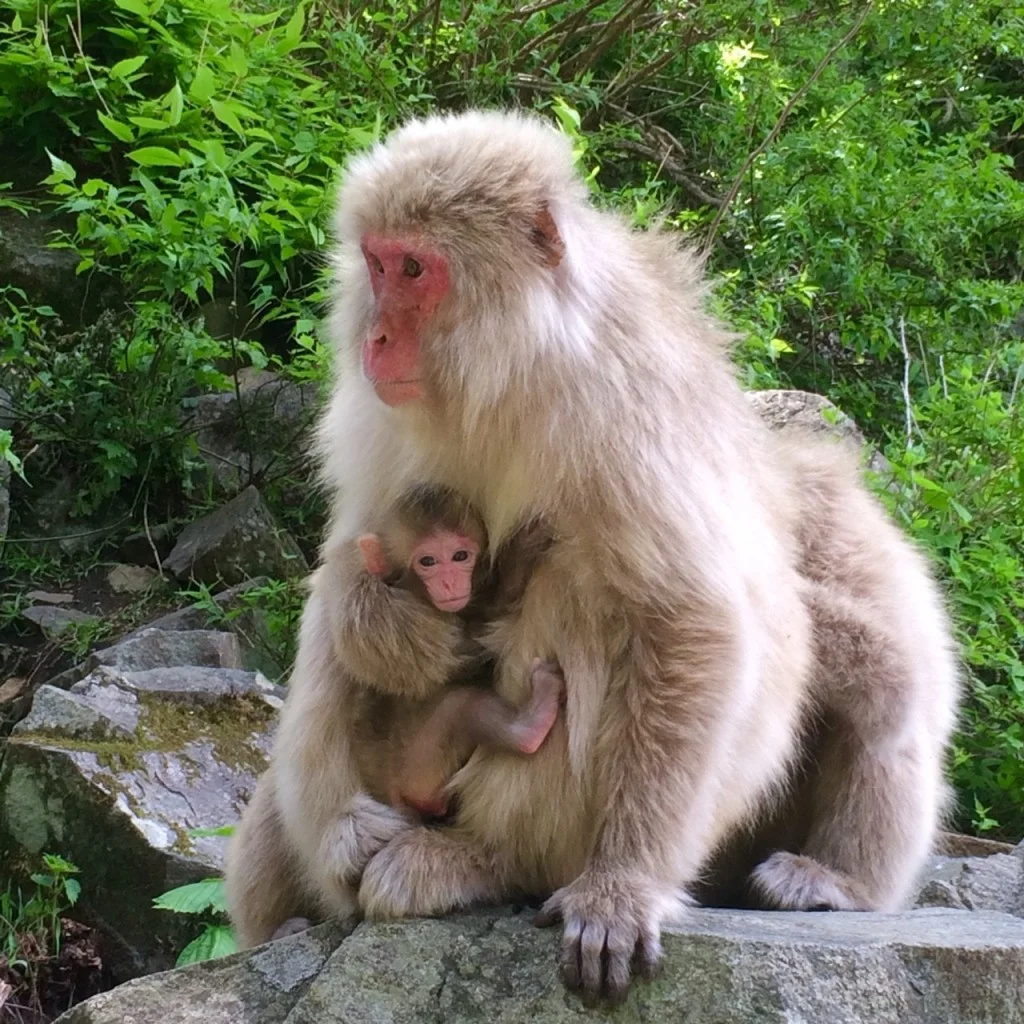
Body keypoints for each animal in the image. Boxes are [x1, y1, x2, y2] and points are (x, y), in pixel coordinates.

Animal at [225, 109, 958, 1006]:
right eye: (377, 262)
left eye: (416, 268)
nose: (377, 336)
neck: (511, 374)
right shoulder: (379, 418)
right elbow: (350, 564)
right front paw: (343, 824)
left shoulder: (626, 407)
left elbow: (696, 620)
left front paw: (622, 885)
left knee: (583, 594)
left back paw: (485, 861)